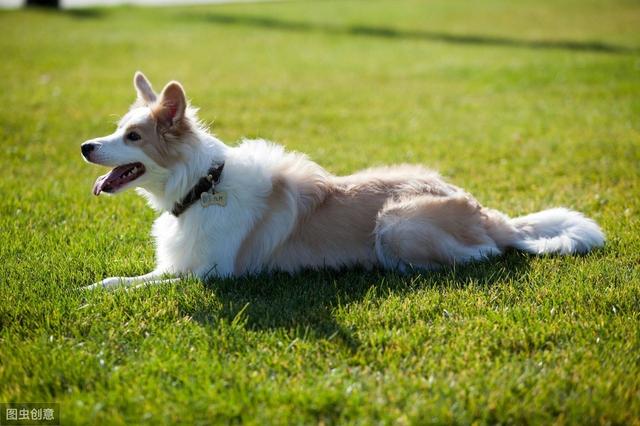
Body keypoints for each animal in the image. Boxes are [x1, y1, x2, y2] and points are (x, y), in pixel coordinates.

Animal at [81, 72, 604, 290]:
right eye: (117, 128)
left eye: (132, 136)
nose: (85, 146)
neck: (203, 186)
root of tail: (492, 217)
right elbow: (124, 278)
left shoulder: (208, 274)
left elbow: (130, 284)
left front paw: (89, 294)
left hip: (397, 223)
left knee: (483, 253)